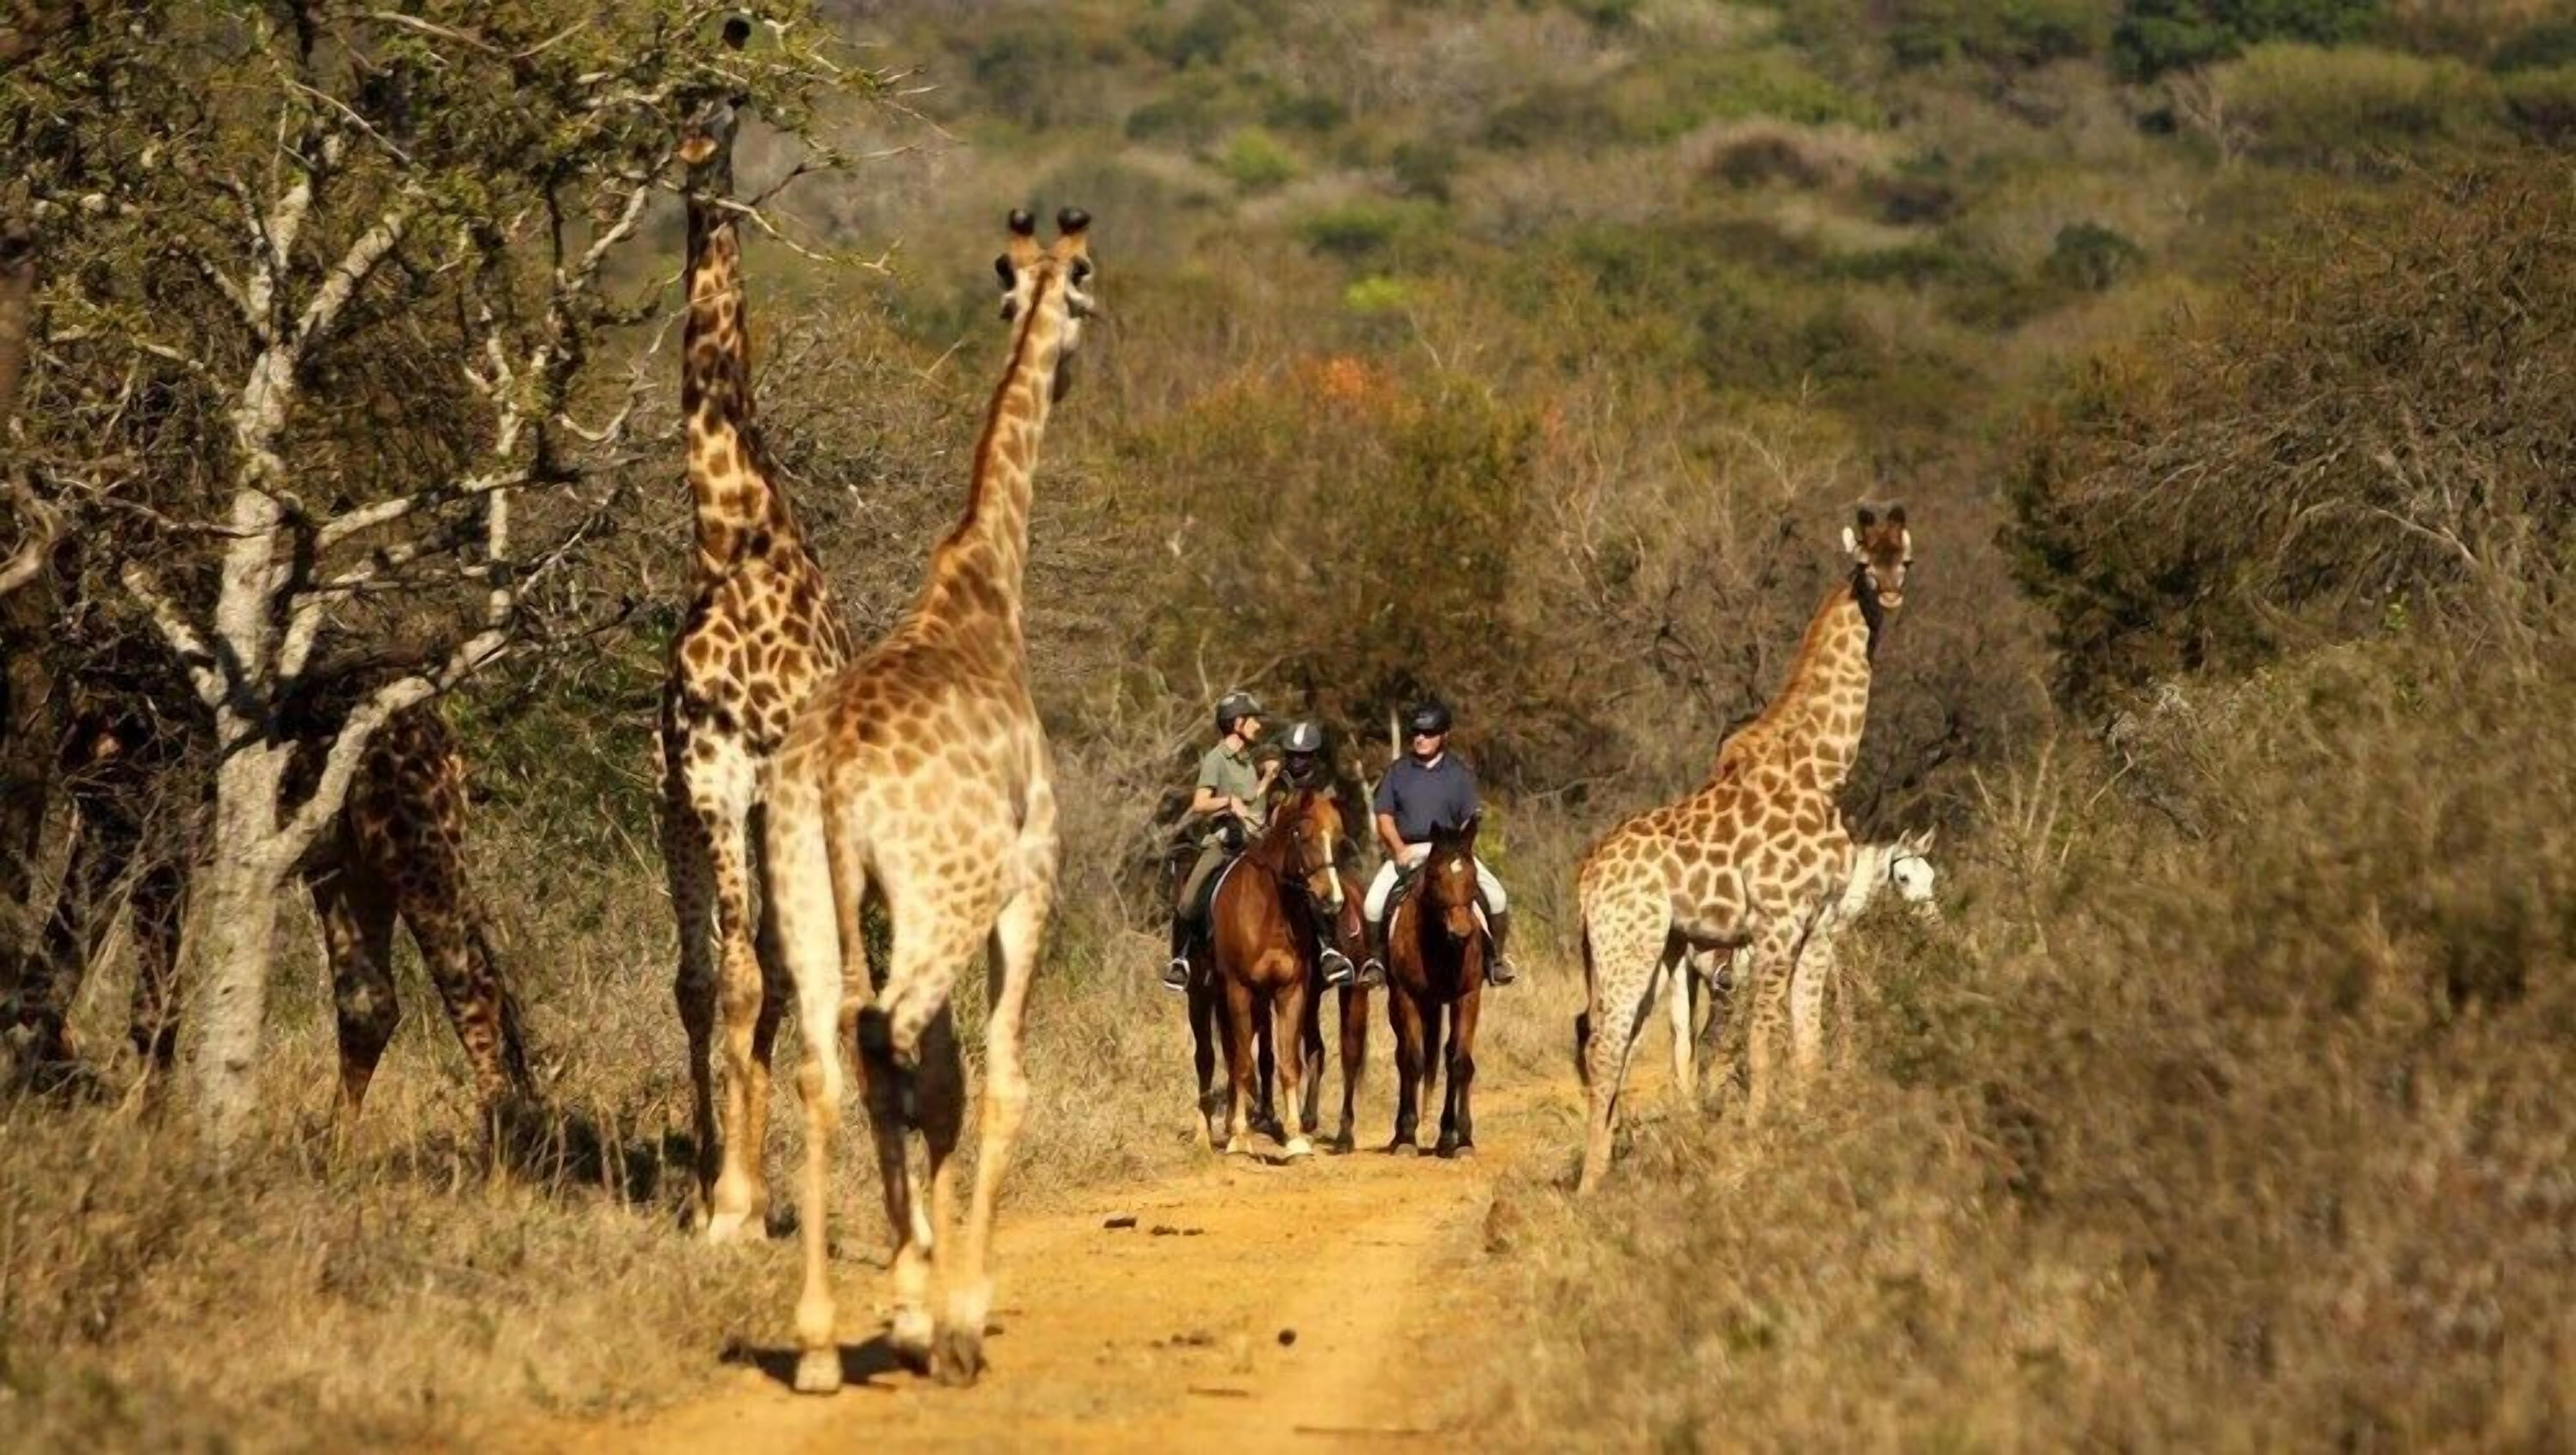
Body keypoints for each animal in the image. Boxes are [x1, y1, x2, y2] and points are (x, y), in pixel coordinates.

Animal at [761, 207, 1094, 1392]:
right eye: (1086, 291)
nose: (1071, 370)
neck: (984, 591)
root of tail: (829, 772)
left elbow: (940, 1081)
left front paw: (913, 1293)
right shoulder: (1028, 884)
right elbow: (997, 1082)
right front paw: (954, 1308)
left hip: (800, 887)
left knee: (828, 1056)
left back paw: (821, 1337)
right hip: (942, 898)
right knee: (887, 1034)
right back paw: (920, 1322)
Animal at [1572, 506, 1913, 1194]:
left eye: (1906, 557)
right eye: (1866, 562)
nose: (1891, 591)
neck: (1823, 771)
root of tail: (1588, 875)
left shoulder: (1821, 924)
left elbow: (1807, 1037)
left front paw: (1808, 1127)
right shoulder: (1777, 921)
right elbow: (1763, 1034)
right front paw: (1760, 1139)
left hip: (1658, 951)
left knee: (1631, 1043)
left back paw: (1615, 1160)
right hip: (1630, 943)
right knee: (1606, 1043)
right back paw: (1590, 1183)